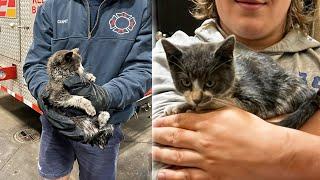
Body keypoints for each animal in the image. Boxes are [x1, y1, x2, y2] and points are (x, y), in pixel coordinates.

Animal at [161, 35, 320, 129]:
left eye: (210, 83)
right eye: (186, 82)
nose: (197, 99)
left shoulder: (258, 102)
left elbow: (228, 102)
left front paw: (204, 104)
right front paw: (179, 106)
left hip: (286, 89)